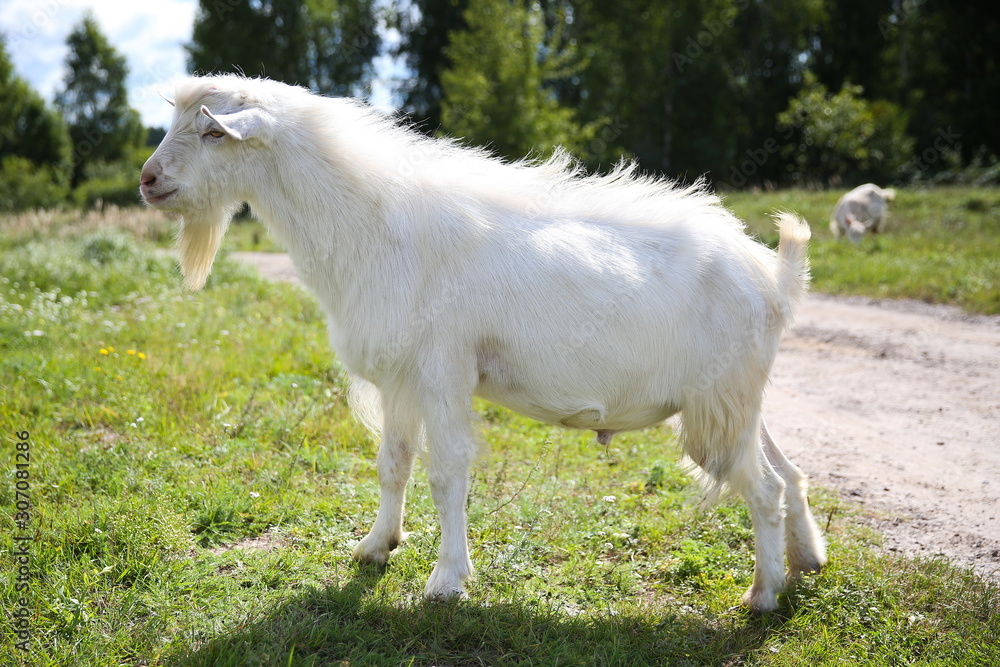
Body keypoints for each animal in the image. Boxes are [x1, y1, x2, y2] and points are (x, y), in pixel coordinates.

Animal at [139, 75, 826, 613]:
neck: (375, 225)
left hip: (721, 400)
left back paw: (763, 594)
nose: (147, 180)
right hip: (739, 396)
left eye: (212, 133)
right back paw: (806, 562)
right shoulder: (402, 378)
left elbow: (447, 473)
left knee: (763, 487)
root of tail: (774, 275)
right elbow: (394, 463)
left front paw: (446, 580)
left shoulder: (444, 370)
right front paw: (376, 546)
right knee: (789, 473)